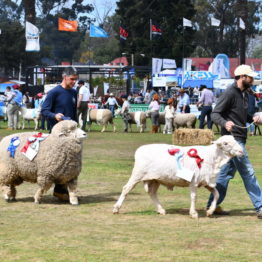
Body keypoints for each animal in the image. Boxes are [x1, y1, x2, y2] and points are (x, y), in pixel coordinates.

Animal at [112, 136, 244, 218]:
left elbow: (217, 194)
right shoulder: (194, 181)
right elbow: (194, 197)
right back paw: (116, 208)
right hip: (138, 173)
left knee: (152, 193)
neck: (211, 157)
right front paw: (193, 213)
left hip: (155, 179)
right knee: (126, 189)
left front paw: (210, 211)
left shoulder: (206, 182)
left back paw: (161, 210)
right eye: (225, 143)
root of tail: (139, 150)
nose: (241, 151)